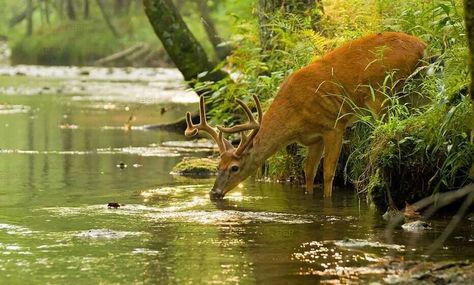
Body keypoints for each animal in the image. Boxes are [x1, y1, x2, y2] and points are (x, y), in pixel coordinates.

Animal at [184, 32, 426, 199]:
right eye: (217, 166)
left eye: (234, 167)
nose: (214, 193)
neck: (294, 118)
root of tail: (422, 45)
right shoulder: (313, 138)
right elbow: (308, 172)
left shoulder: (334, 125)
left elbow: (328, 172)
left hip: (383, 93)